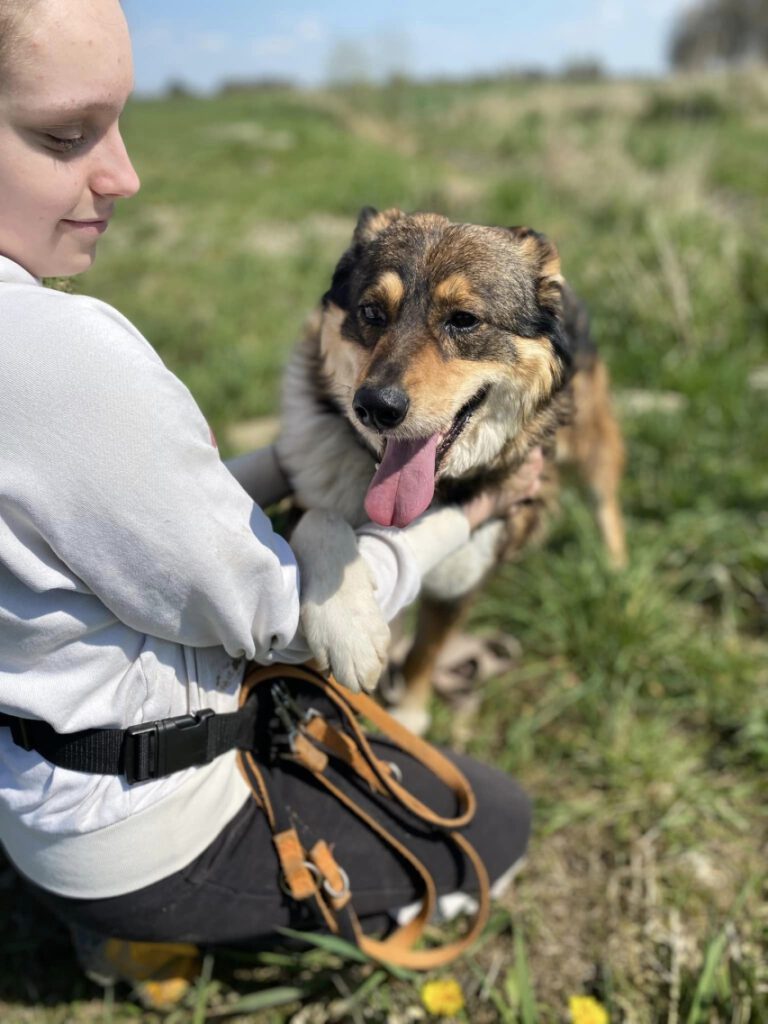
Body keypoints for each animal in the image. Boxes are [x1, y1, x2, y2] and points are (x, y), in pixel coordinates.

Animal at [280, 205, 626, 729]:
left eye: (463, 320)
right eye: (371, 312)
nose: (376, 407)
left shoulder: (460, 578)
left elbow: (425, 653)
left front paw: (407, 717)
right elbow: (321, 521)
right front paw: (349, 627)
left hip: (591, 444)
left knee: (606, 500)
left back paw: (617, 571)